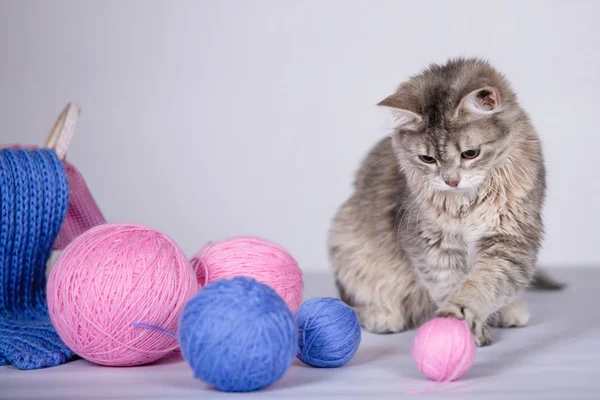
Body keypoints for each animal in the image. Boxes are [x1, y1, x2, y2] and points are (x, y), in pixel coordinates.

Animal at [328, 57, 564, 346]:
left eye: (470, 153)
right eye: (428, 159)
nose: (451, 181)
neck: (468, 203)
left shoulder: (510, 239)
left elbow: (482, 284)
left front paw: (462, 315)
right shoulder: (429, 241)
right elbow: (448, 284)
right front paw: (457, 326)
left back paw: (511, 311)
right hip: (347, 243)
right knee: (354, 302)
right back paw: (383, 316)